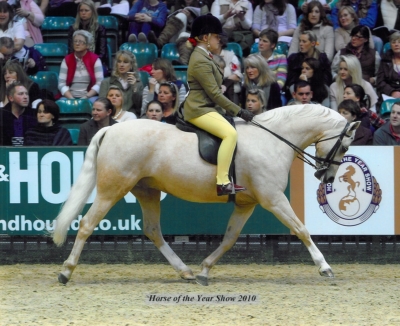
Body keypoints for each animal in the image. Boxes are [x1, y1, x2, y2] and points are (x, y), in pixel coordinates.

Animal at [50, 104, 360, 286]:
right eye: (345, 146)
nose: (326, 178)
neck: (271, 139)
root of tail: (111, 128)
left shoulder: (247, 203)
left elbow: (229, 239)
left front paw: (204, 270)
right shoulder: (273, 199)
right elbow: (301, 229)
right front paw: (324, 267)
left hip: (147, 190)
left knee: (153, 230)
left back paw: (185, 271)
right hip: (113, 188)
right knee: (87, 224)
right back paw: (65, 271)